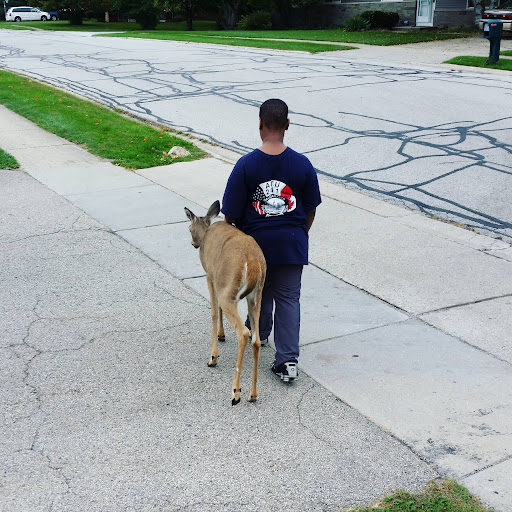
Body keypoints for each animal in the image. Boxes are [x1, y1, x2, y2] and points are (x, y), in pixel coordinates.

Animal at [184, 202, 266, 406]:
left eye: (188, 228)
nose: (194, 244)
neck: (206, 232)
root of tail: (252, 261)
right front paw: (221, 335)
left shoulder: (210, 276)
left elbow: (214, 312)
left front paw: (213, 356)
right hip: (256, 296)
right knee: (256, 340)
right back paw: (253, 394)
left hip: (229, 290)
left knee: (243, 332)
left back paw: (235, 392)